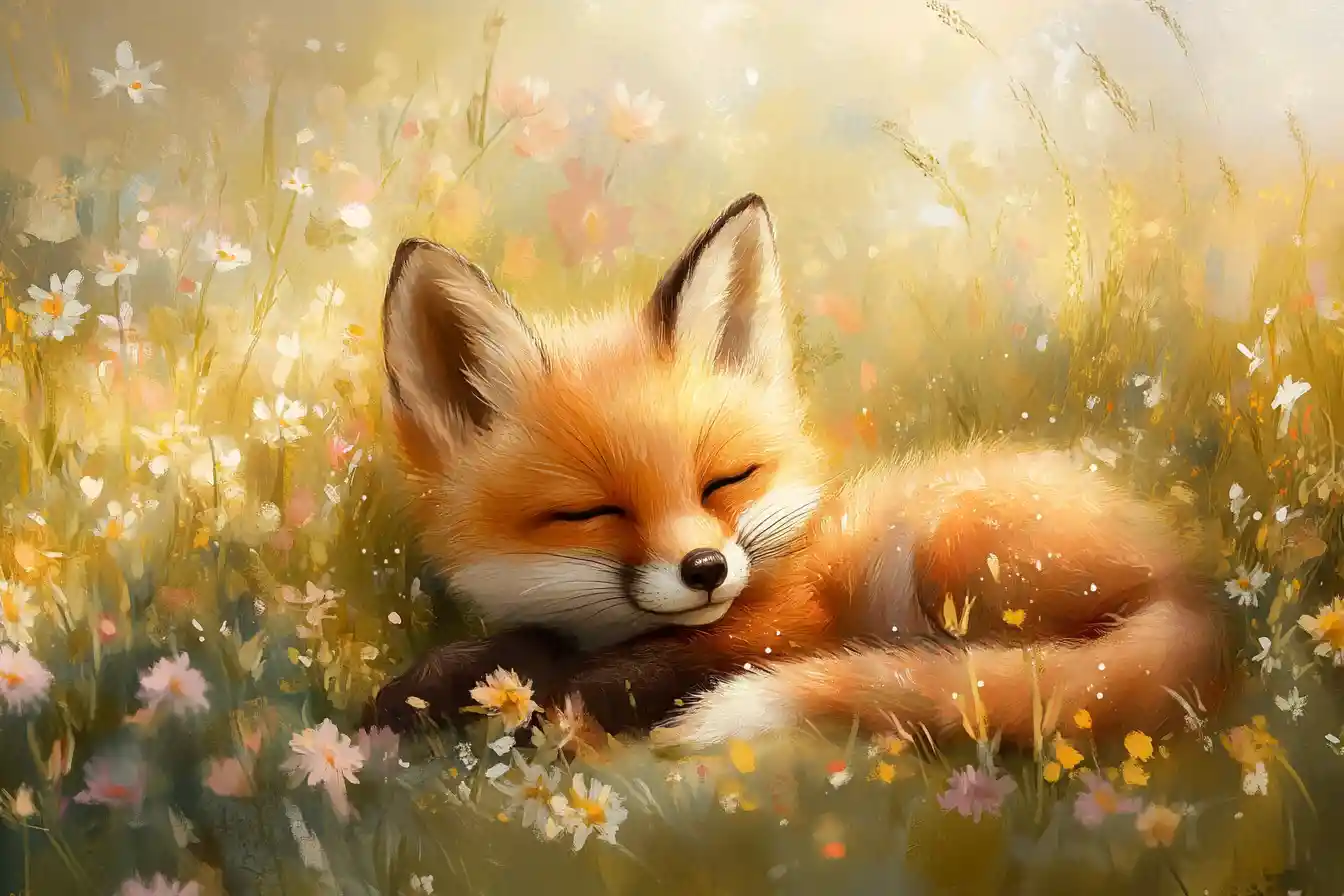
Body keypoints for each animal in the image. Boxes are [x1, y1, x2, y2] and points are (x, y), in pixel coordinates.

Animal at [364, 193, 1232, 753]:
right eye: (590, 512)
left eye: (726, 479)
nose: (706, 568)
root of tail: (1194, 588)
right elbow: (503, 651)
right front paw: (407, 702)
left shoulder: (790, 623)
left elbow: (627, 671)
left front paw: (560, 713)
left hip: (950, 542)